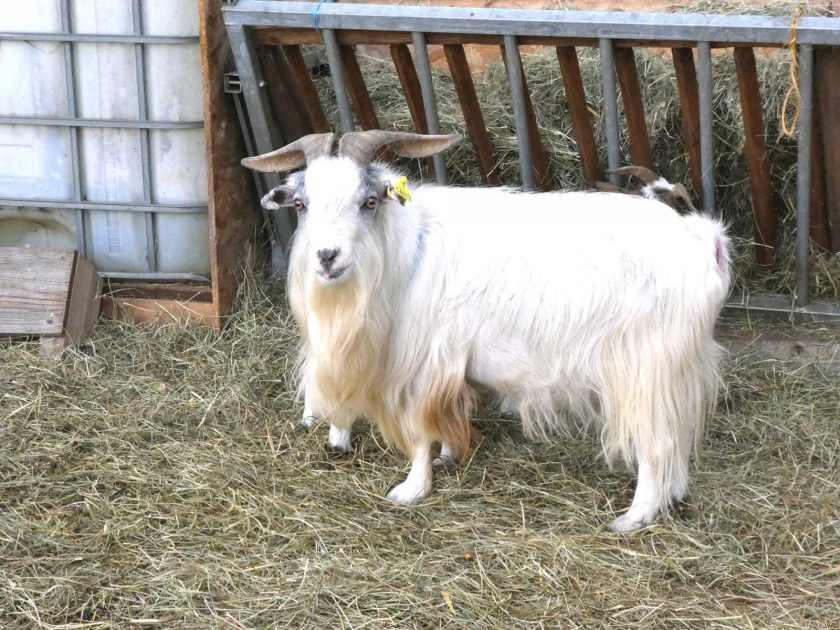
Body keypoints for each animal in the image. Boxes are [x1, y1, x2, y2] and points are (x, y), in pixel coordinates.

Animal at [241, 132, 728, 532]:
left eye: (370, 201)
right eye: (301, 205)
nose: (327, 256)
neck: (406, 252)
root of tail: (703, 241)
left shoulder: (421, 364)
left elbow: (419, 433)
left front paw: (411, 489)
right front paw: (449, 455)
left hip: (645, 369)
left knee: (658, 443)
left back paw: (635, 517)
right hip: (678, 368)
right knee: (679, 436)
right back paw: (674, 494)